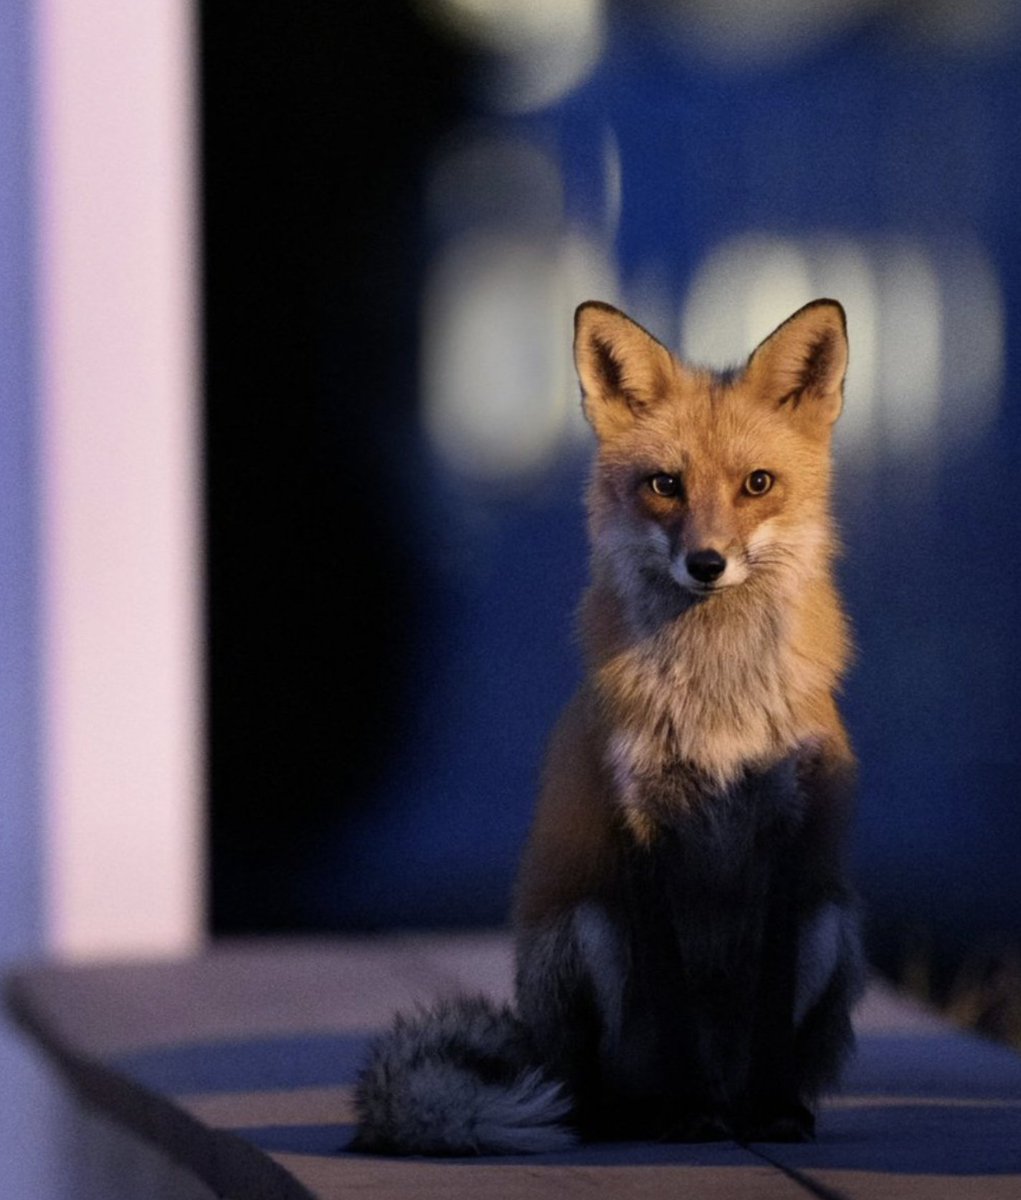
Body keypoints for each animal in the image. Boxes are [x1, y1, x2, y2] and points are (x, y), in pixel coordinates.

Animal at [352, 297, 865, 1154]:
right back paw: (643, 1112)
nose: (706, 564)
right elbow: (668, 994)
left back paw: (745, 1105)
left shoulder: (786, 831)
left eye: (757, 485)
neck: (715, 697)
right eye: (665, 485)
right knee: (587, 1094)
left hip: (831, 926)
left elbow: (767, 1004)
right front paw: (688, 1113)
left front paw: (775, 1109)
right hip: (584, 931)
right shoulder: (638, 822)